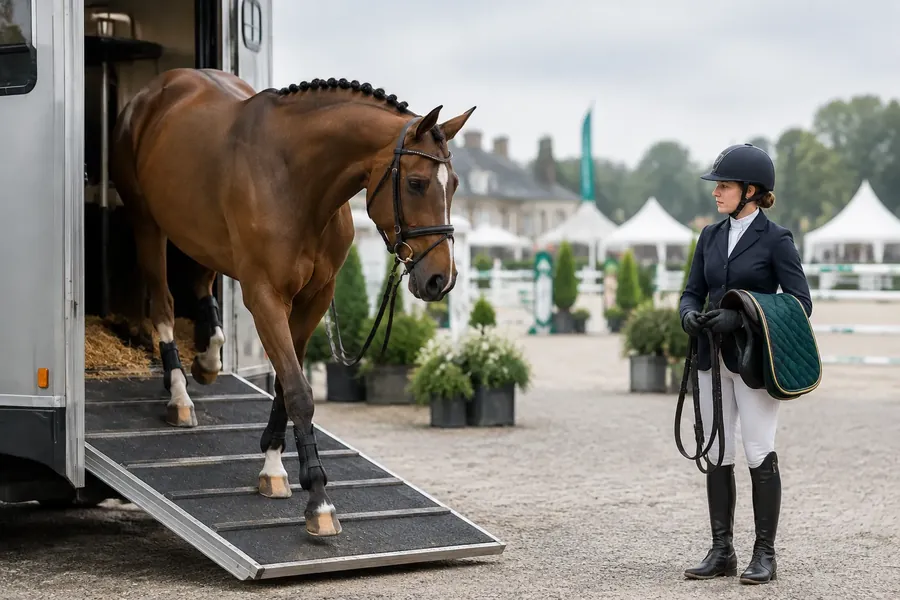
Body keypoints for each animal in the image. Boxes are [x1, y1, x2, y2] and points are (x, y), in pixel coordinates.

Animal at [109, 69, 475, 537]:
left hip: (201, 237)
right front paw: (318, 500)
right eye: (416, 183)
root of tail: (156, 90)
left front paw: (272, 469)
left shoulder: (314, 300)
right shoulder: (265, 296)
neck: (298, 181)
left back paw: (208, 360)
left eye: (455, 186)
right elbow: (299, 390)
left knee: (199, 287)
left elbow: (286, 382)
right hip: (148, 224)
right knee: (163, 303)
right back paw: (179, 397)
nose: (439, 280)